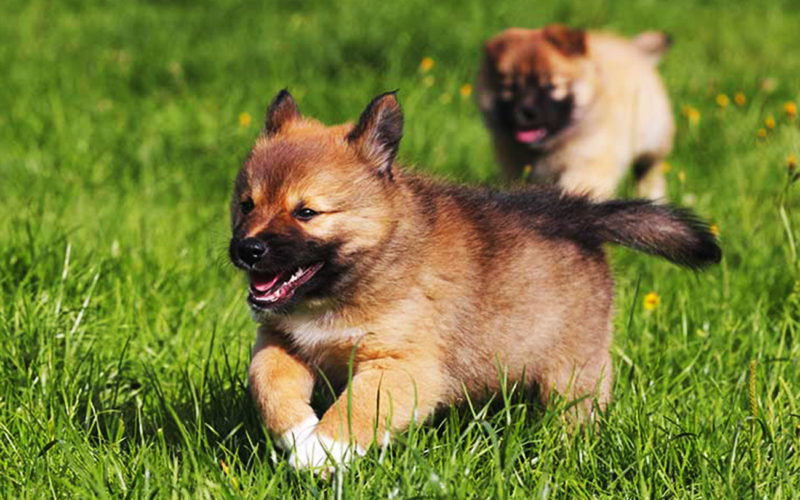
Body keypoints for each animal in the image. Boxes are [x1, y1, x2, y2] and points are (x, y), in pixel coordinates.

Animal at [227, 89, 720, 468]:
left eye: (306, 212)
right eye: (247, 204)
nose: (246, 250)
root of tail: (579, 216)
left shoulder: (404, 366)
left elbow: (358, 407)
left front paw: (324, 449)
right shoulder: (281, 340)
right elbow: (267, 383)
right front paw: (299, 433)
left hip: (573, 370)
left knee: (575, 415)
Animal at [476, 23, 676, 199]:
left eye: (551, 86)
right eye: (512, 88)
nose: (527, 112)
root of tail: (633, 48)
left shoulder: (587, 162)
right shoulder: (515, 169)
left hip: (652, 141)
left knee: (650, 173)